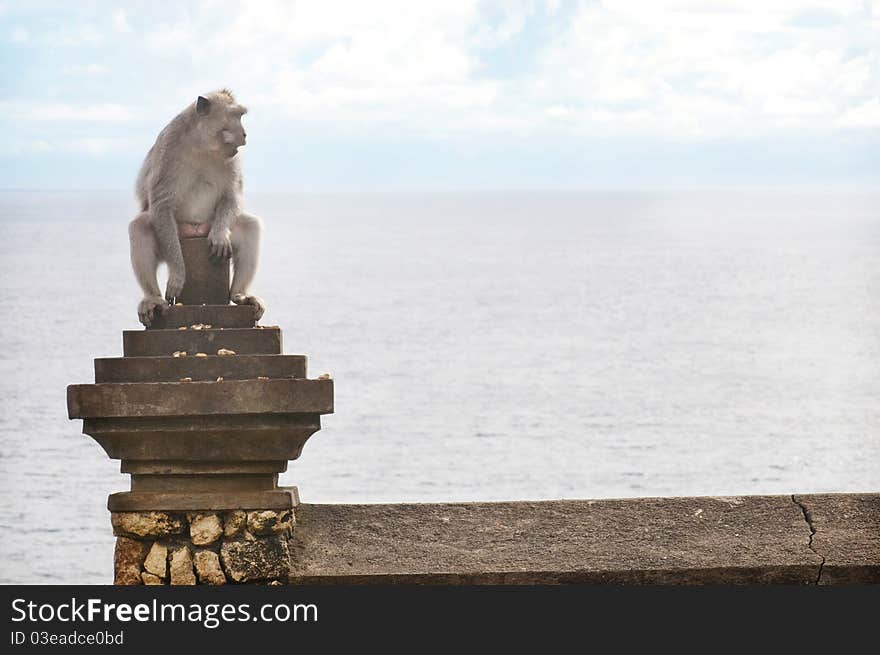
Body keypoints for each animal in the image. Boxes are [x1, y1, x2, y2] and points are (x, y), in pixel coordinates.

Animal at [128, 88, 264, 328]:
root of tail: (195, 230)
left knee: (250, 226)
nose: (245, 134)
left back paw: (239, 294)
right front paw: (178, 275)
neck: (202, 145)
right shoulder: (168, 148)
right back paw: (152, 299)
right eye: (236, 116)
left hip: (208, 225)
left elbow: (231, 196)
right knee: (140, 225)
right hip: (174, 235)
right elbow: (161, 204)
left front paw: (219, 236)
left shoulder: (233, 158)